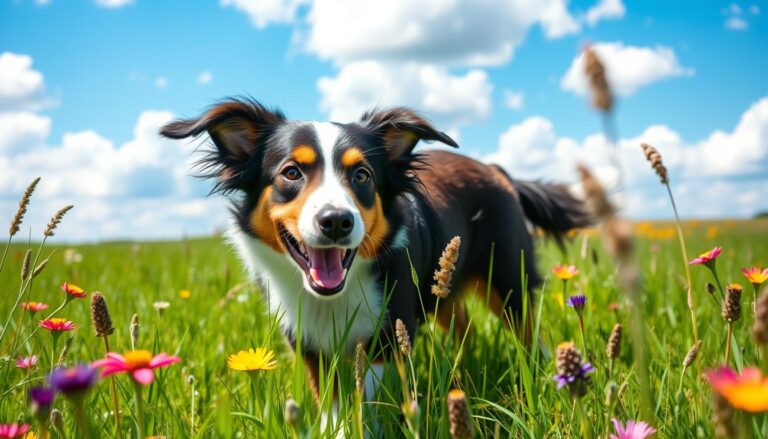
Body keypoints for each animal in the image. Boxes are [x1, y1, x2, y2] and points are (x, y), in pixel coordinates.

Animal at [159, 97, 592, 416]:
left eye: (362, 175)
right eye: (291, 172)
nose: (336, 221)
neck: (333, 298)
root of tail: (496, 169)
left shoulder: (386, 336)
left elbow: (370, 400)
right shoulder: (309, 344)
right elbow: (332, 405)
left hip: (507, 279)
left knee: (527, 329)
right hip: (440, 292)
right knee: (462, 324)